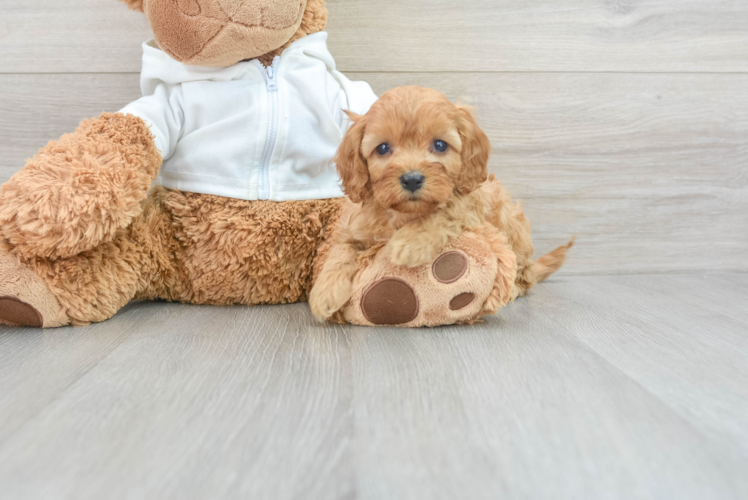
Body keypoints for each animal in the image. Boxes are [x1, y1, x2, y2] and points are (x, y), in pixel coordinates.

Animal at [306, 86, 568, 322]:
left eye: (440, 145)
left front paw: (409, 242)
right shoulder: (355, 227)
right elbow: (341, 250)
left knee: (525, 276)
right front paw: (325, 292)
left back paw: (513, 288)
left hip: (513, 226)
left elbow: (444, 212)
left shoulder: (468, 209)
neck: (404, 213)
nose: (412, 179)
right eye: (382, 148)